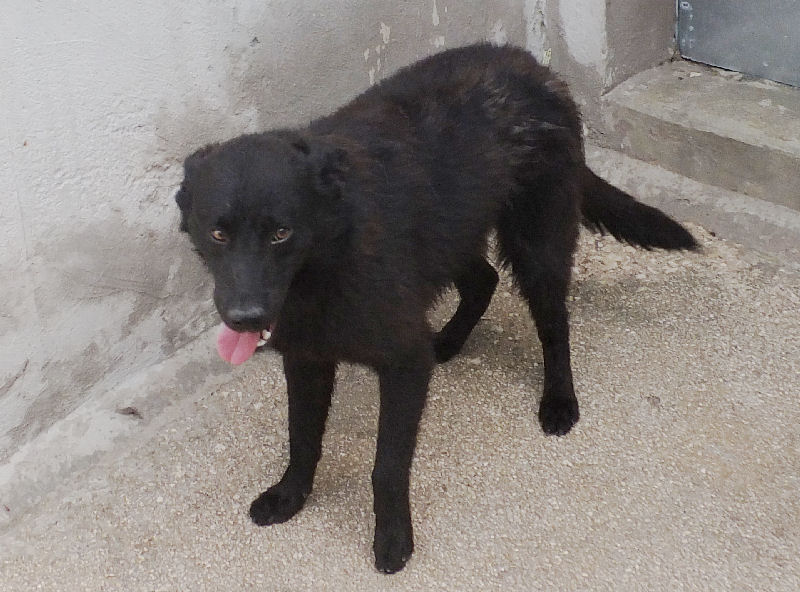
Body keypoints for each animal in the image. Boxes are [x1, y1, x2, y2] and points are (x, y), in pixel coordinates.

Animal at [175, 43, 697, 573]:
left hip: (537, 246)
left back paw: (559, 399)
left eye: (282, 232)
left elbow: (386, 467)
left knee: (554, 324)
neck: (330, 253)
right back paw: (447, 340)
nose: (245, 317)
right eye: (218, 233)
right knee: (483, 281)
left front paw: (393, 539)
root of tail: (537, 69)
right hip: (452, 236)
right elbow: (301, 438)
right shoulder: (307, 359)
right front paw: (290, 496)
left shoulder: (403, 364)